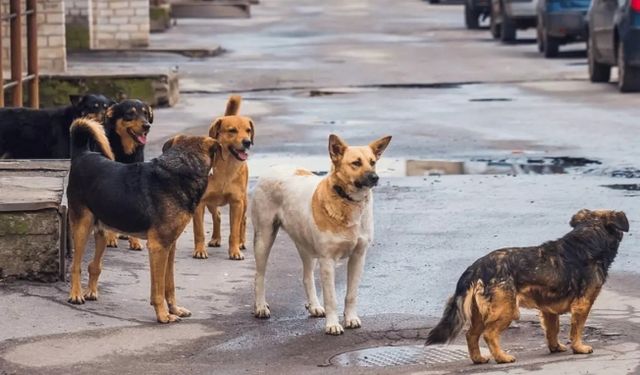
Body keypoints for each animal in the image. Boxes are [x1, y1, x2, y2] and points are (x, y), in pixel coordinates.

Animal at [65, 119, 220, 324]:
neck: (181, 169)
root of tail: (82, 154)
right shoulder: (158, 247)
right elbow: (158, 289)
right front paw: (163, 315)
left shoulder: (170, 246)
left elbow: (169, 285)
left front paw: (175, 309)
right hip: (82, 227)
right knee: (75, 266)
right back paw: (76, 295)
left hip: (102, 231)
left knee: (94, 265)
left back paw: (90, 291)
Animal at [104, 99, 156, 250]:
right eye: (130, 114)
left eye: (146, 114)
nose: (147, 126)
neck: (126, 152)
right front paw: (110, 238)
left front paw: (135, 241)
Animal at [191, 95, 254, 260]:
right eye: (232, 131)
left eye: (248, 130)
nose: (247, 142)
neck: (226, 167)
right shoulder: (200, 203)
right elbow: (199, 231)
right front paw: (199, 250)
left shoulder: (237, 203)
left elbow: (234, 231)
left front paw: (235, 251)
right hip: (211, 203)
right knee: (217, 216)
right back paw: (215, 238)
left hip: (244, 201)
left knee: (243, 220)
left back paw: (241, 242)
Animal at [250, 134, 390, 334]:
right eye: (356, 163)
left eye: (373, 162)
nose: (375, 177)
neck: (347, 201)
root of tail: (274, 167)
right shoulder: (327, 260)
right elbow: (331, 298)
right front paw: (333, 324)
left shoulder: (358, 257)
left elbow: (351, 294)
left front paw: (350, 318)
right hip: (264, 237)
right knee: (259, 275)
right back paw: (261, 306)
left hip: (306, 246)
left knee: (307, 277)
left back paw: (314, 306)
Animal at [428, 209, 628, 364]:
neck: (589, 236)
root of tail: (476, 267)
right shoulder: (583, 304)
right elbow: (577, 329)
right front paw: (579, 347)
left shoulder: (548, 310)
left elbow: (552, 330)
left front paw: (555, 347)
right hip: (506, 310)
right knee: (489, 334)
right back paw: (502, 357)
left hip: (479, 313)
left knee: (471, 335)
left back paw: (478, 359)